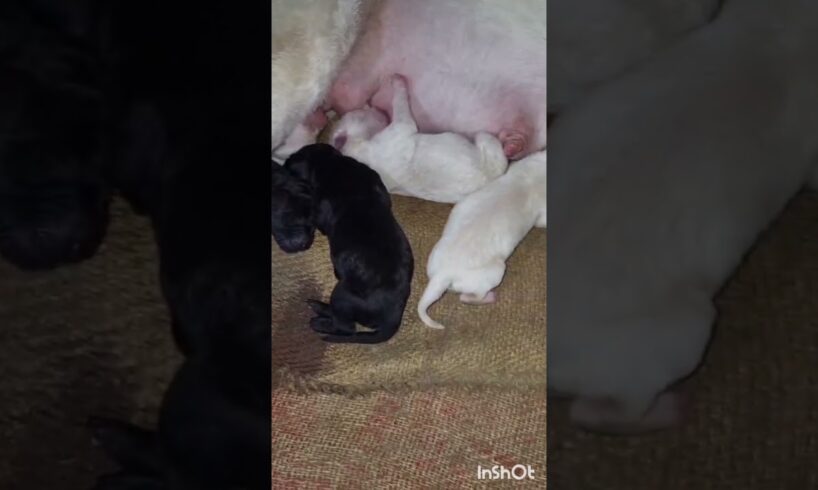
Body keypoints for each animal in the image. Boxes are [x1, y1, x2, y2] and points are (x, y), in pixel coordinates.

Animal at [328, 74, 506, 203]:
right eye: (358, 114)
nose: (376, 107)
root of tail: (490, 181)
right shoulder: (401, 127)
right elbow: (400, 102)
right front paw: (397, 81)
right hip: (488, 144)